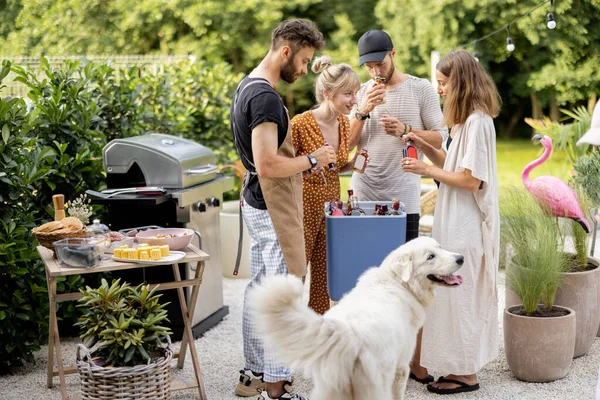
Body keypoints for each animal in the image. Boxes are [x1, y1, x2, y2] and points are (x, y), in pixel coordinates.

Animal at [247, 238, 464, 400]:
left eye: (440, 248)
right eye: (430, 257)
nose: (461, 258)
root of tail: (347, 332)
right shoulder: (401, 369)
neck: (398, 283)